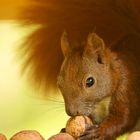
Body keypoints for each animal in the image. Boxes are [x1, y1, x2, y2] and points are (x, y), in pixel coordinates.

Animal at [18, 0, 140, 139]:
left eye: (90, 81)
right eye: (59, 84)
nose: (71, 112)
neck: (101, 102)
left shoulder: (127, 88)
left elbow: (123, 119)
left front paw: (98, 131)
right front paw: (64, 129)